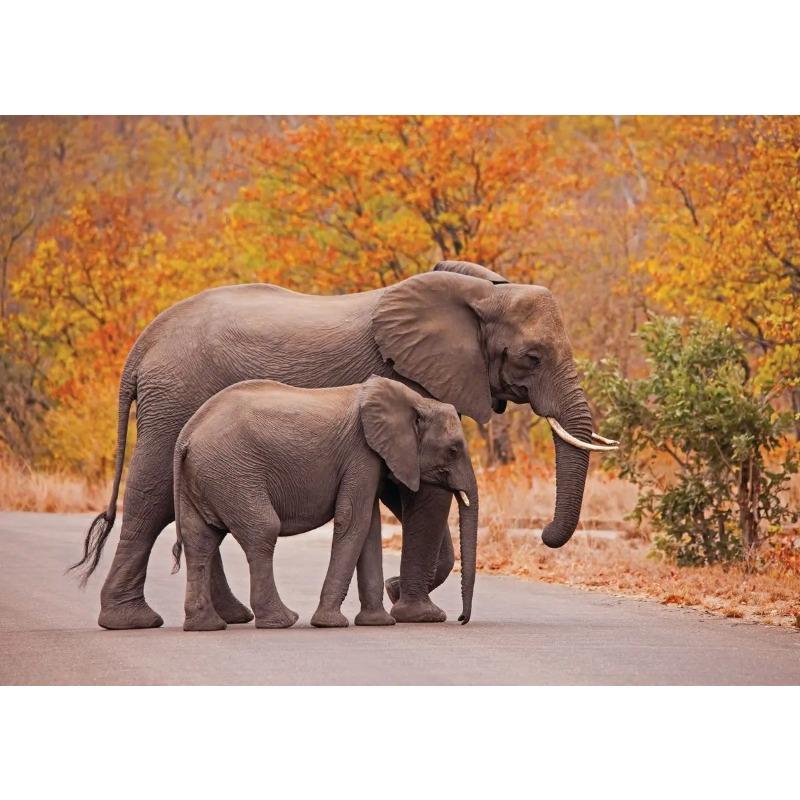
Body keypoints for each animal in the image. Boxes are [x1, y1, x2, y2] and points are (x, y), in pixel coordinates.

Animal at [170, 376, 478, 631]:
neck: (414, 401)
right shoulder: (361, 454)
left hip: (205, 478)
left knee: (200, 540)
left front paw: (377, 623)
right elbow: (353, 520)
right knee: (263, 530)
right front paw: (330, 623)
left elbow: (369, 528)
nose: (462, 619)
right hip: (233, 474)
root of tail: (186, 437)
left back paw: (205, 626)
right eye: (454, 450)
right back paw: (281, 621)